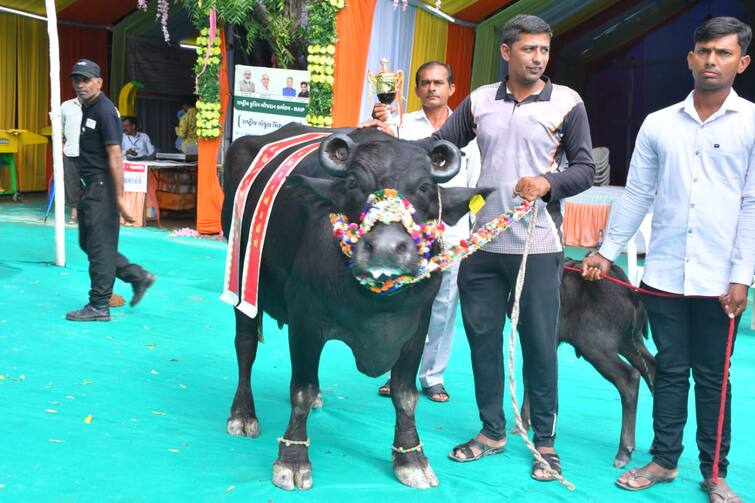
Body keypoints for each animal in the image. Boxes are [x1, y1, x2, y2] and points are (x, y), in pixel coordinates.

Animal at [221, 124, 488, 490]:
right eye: (353, 183)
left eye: (424, 187)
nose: (386, 248)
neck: (377, 303)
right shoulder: (306, 318)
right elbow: (301, 390)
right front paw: (292, 459)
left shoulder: (417, 323)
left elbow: (405, 395)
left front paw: (411, 458)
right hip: (242, 279)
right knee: (245, 346)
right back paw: (243, 414)